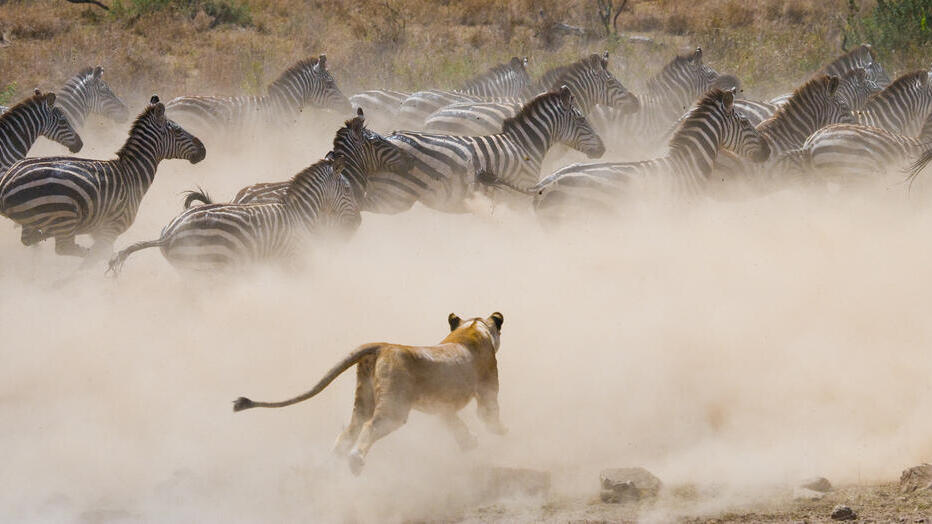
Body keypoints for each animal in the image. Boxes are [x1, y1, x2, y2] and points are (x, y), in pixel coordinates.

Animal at [0, 96, 206, 263]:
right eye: (178, 131)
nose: (203, 150)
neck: (132, 173)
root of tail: (7, 181)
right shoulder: (111, 229)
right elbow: (99, 254)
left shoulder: (99, 231)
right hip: (64, 215)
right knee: (66, 248)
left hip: (34, 219)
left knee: (29, 239)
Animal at [233, 311, 507, 475]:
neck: (473, 328)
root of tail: (382, 345)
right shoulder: (487, 389)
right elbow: (489, 414)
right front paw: (500, 432)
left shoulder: (442, 407)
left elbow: (454, 424)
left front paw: (469, 444)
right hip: (394, 408)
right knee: (370, 426)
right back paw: (355, 462)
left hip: (363, 399)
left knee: (349, 430)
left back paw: (334, 462)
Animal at [365, 86, 605, 214]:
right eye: (582, 119)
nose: (603, 148)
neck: (524, 145)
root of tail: (388, 137)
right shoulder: (516, 197)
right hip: (394, 195)